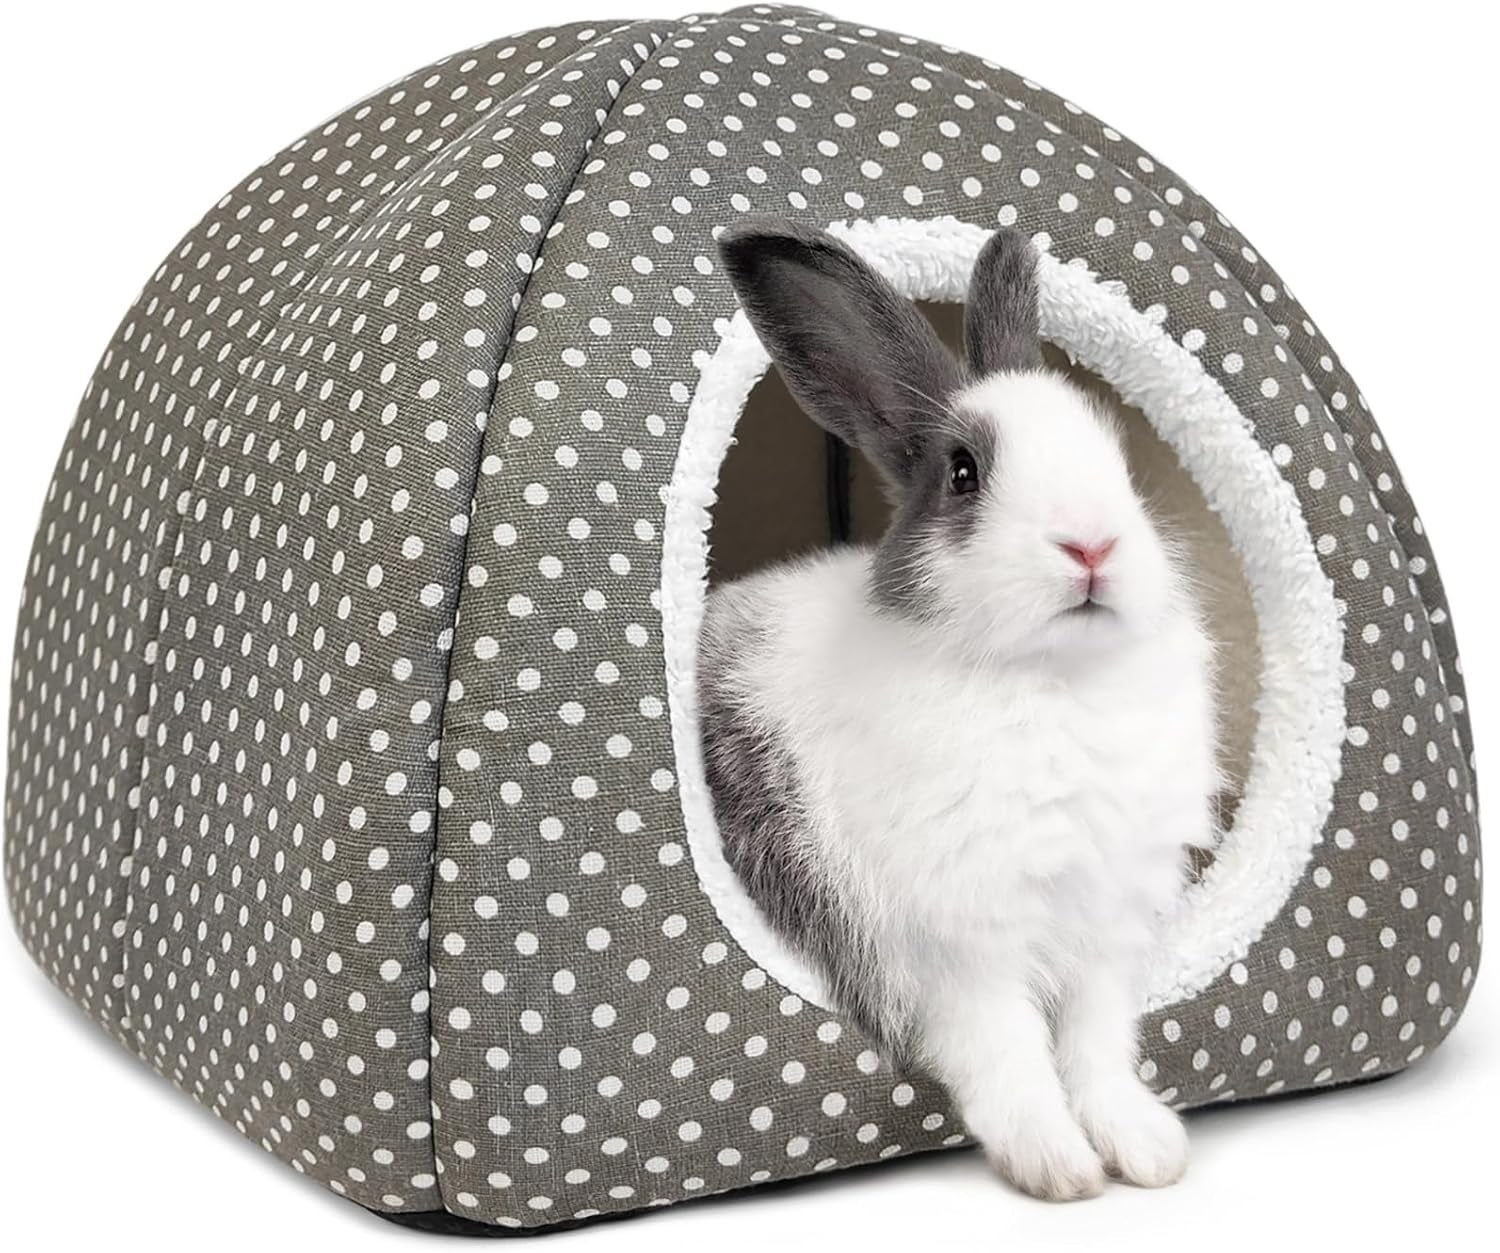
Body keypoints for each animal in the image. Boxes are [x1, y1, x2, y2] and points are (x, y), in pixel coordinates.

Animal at [698, 219, 1221, 1202]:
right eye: (964, 473)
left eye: (1118, 457)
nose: (1092, 544)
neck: (1051, 680)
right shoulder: (959, 947)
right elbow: (1007, 1052)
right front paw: (1058, 1168)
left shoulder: (1105, 937)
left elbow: (1098, 1047)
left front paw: (1146, 1150)